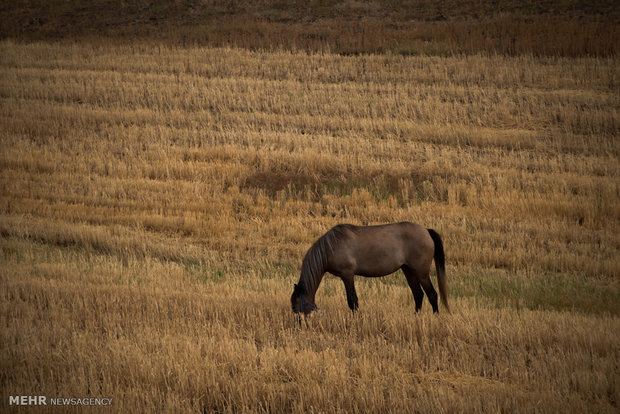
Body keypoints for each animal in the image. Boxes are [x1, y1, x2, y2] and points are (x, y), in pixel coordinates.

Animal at [290, 223, 450, 314]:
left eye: (295, 306)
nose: (298, 325)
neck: (330, 247)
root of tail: (426, 231)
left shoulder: (347, 274)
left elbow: (352, 301)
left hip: (422, 273)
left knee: (432, 294)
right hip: (408, 271)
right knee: (418, 295)